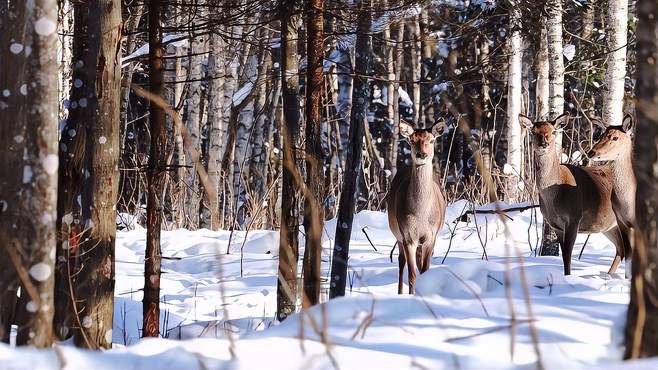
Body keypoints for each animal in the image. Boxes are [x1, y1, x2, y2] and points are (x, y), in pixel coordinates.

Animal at [384, 120, 446, 294]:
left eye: (431, 140)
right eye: (412, 140)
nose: (422, 155)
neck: (421, 215)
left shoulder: (431, 236)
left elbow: (425, 270)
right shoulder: (407, 235)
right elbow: (412, 275)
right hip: (397, 232)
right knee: (401, 262)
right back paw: (399, 292)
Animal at [516, 114, 624, 276]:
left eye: (553, 131)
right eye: (534, 132)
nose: (544, 144)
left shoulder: (574, 217)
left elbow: (567, 255)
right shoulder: (555, 225)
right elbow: (564, 256)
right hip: (609, 225)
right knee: (621, 249)